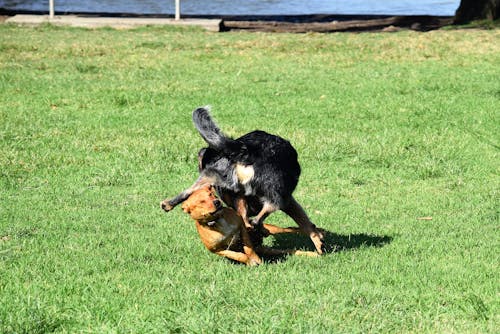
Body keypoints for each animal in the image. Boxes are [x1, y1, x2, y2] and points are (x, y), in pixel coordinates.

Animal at [160, 107, 324, 253]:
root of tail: (246, 149)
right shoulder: (288, 200)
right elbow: (305, 222)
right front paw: (318, 241)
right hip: (274, 189)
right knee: (268, 208)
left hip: (216, 176)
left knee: (190, 191)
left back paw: (168, 203)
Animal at [175, 184, 316, 264]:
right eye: (201, 202)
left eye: (211, 194)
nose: (217, 202)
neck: (218, 221)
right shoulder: (217, 250)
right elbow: (238, 255)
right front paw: (250, 262)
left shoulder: (242, 228)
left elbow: (248, 248)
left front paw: (255, 259)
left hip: (274, 229)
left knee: (292, 229)